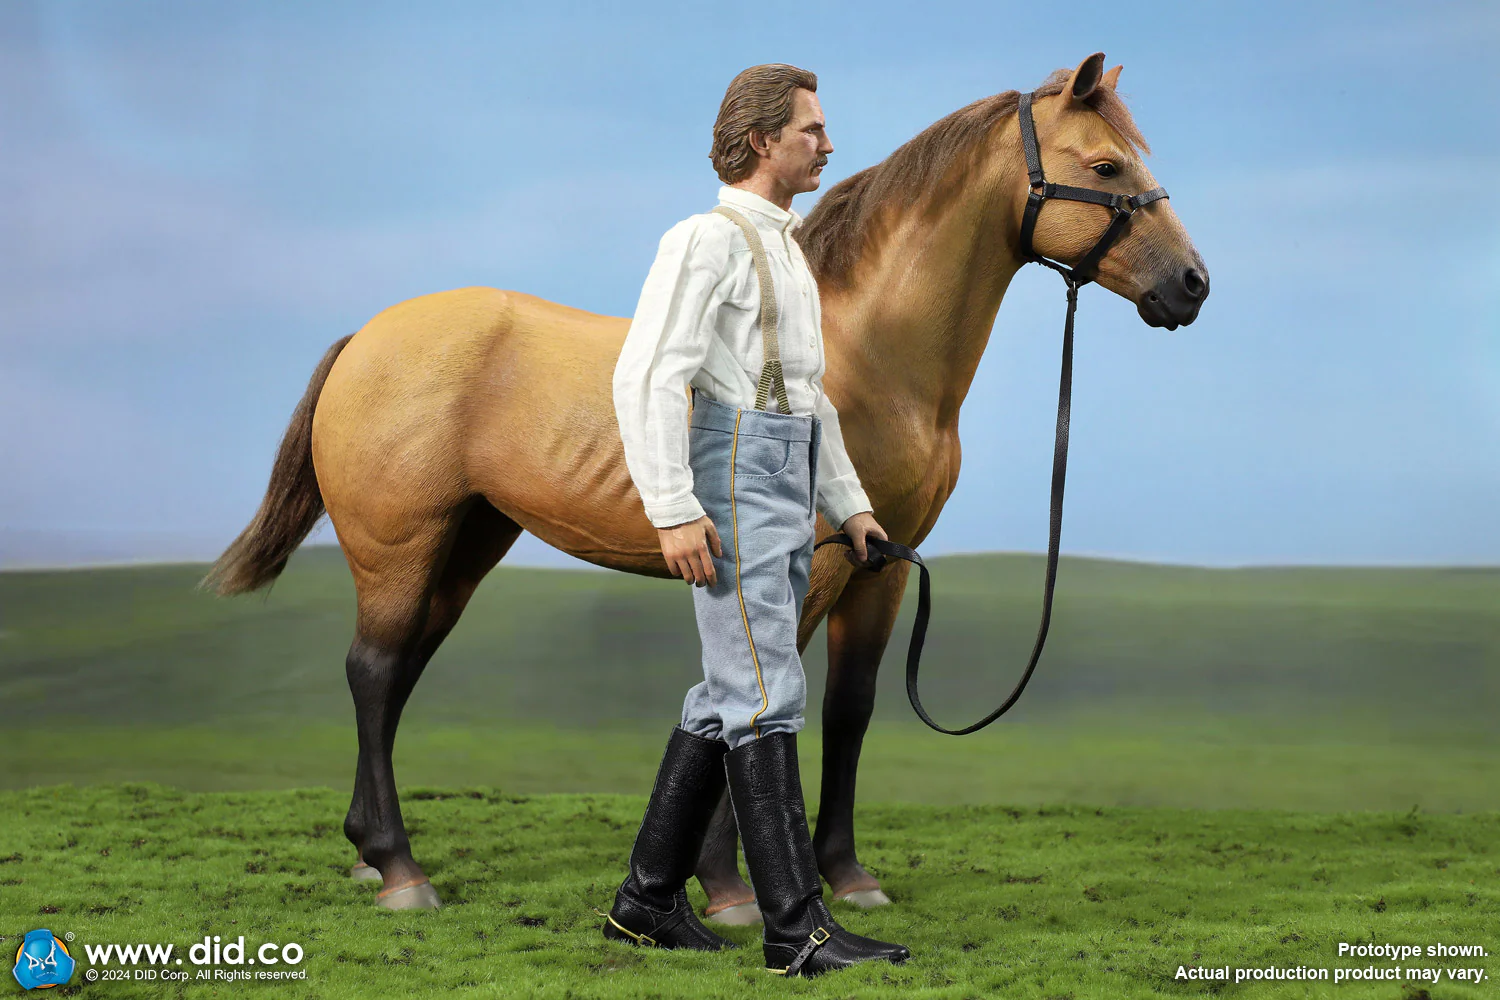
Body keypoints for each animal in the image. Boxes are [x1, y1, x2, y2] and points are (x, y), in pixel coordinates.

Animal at [203, 52, 1208, 913]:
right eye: (1107, 164)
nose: (1193, 284)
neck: (870, 351)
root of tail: (366, 339)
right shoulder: (808, 567)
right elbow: (765, 708)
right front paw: (731, 890)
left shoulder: (880, 565)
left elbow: (847, 712)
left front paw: (846, 876)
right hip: (400, 547)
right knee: (374, 672)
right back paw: (401, 871)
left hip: (465, 547)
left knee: (399, 673)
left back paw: (367, 855)